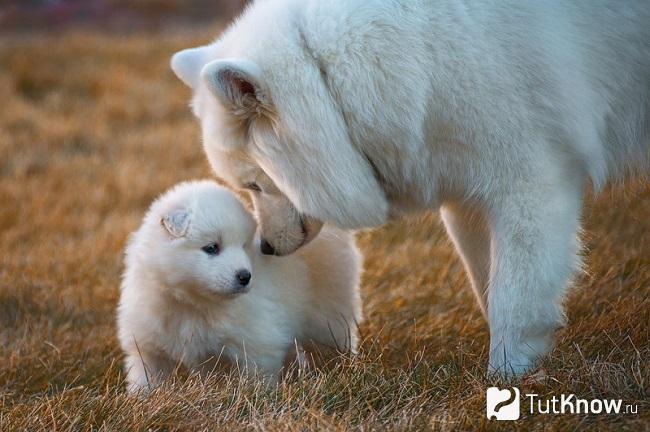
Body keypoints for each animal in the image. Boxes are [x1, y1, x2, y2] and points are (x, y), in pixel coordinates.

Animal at [116, 181, 360, 394]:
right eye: (211, 248)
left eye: (243, 246)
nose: (245, 276)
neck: (192, 302)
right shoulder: (147, 346)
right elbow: (146, 377)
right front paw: (140, 400)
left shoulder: (258, 344)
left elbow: (259, 376)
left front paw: (259, 398)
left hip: (328, 314)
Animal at [168, 0, 648, 376]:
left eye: (254, 184)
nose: (265, 247)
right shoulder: (468, 192)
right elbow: (486, 283)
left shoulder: (530, 185)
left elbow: (514, 296)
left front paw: (507, 376)